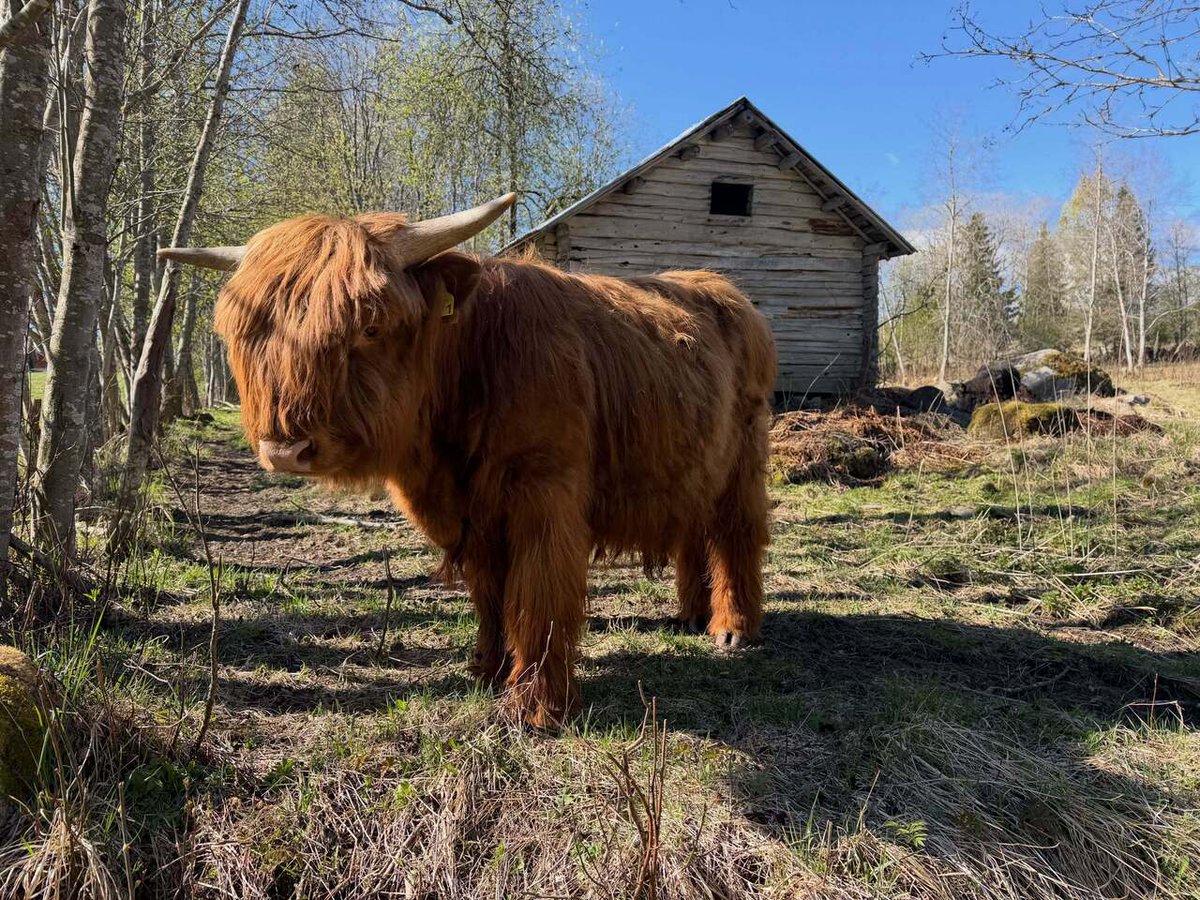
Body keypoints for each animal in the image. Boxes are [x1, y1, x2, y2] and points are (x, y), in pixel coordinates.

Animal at [160, 193, 775, 727]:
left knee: (736, 533)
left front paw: (537, 706)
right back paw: (691, 615)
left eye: (370, 326)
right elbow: (490, 594)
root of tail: (720, 287)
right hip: (693, 462)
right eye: (247, 334)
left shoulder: (544, 492)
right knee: (694, 528)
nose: (286, 449)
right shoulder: (470, 515)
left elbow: (538, 596)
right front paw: (487, 671)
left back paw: (732, 629)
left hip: (744, 459)